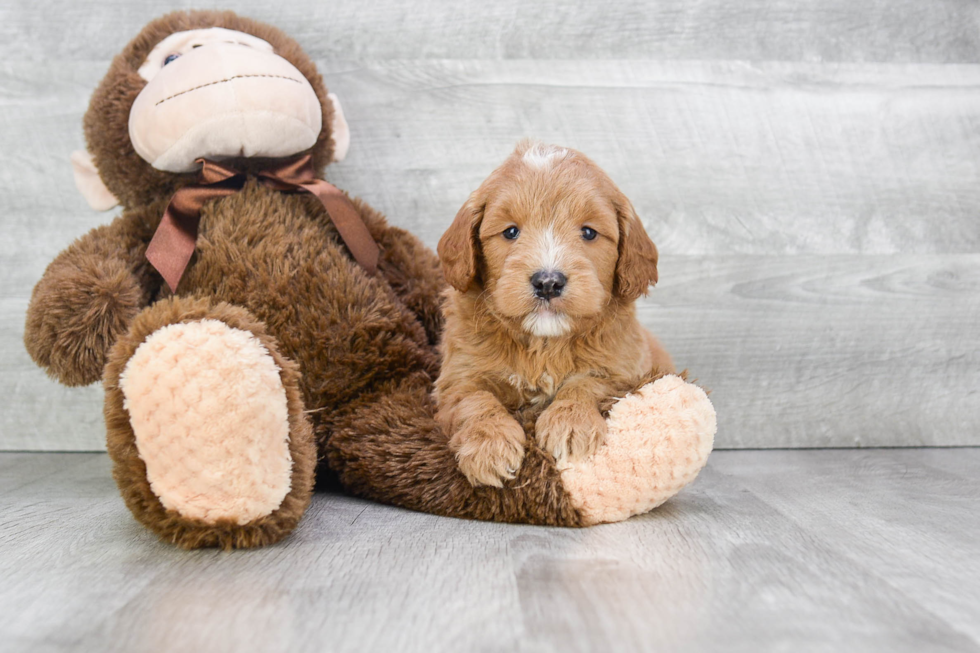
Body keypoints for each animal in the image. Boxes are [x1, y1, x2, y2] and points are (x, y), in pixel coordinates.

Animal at [434, 141, 672, 488]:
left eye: (588, 233)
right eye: (511, 232)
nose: (548, 282)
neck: (544, 343)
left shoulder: (624, 372)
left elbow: (587, 384)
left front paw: (570, 423)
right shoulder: (458, 377)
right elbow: (474, 401)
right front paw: (488, 445)